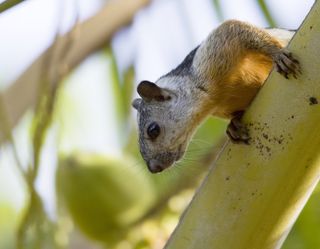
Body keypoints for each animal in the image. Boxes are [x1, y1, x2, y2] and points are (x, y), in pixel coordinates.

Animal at [132, 20, 300, 173]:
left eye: (153, 130)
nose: (154, 168)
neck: (215, 100)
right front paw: (233, 125)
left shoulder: (218, 45)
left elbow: (245, 32)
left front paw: (277, 54)